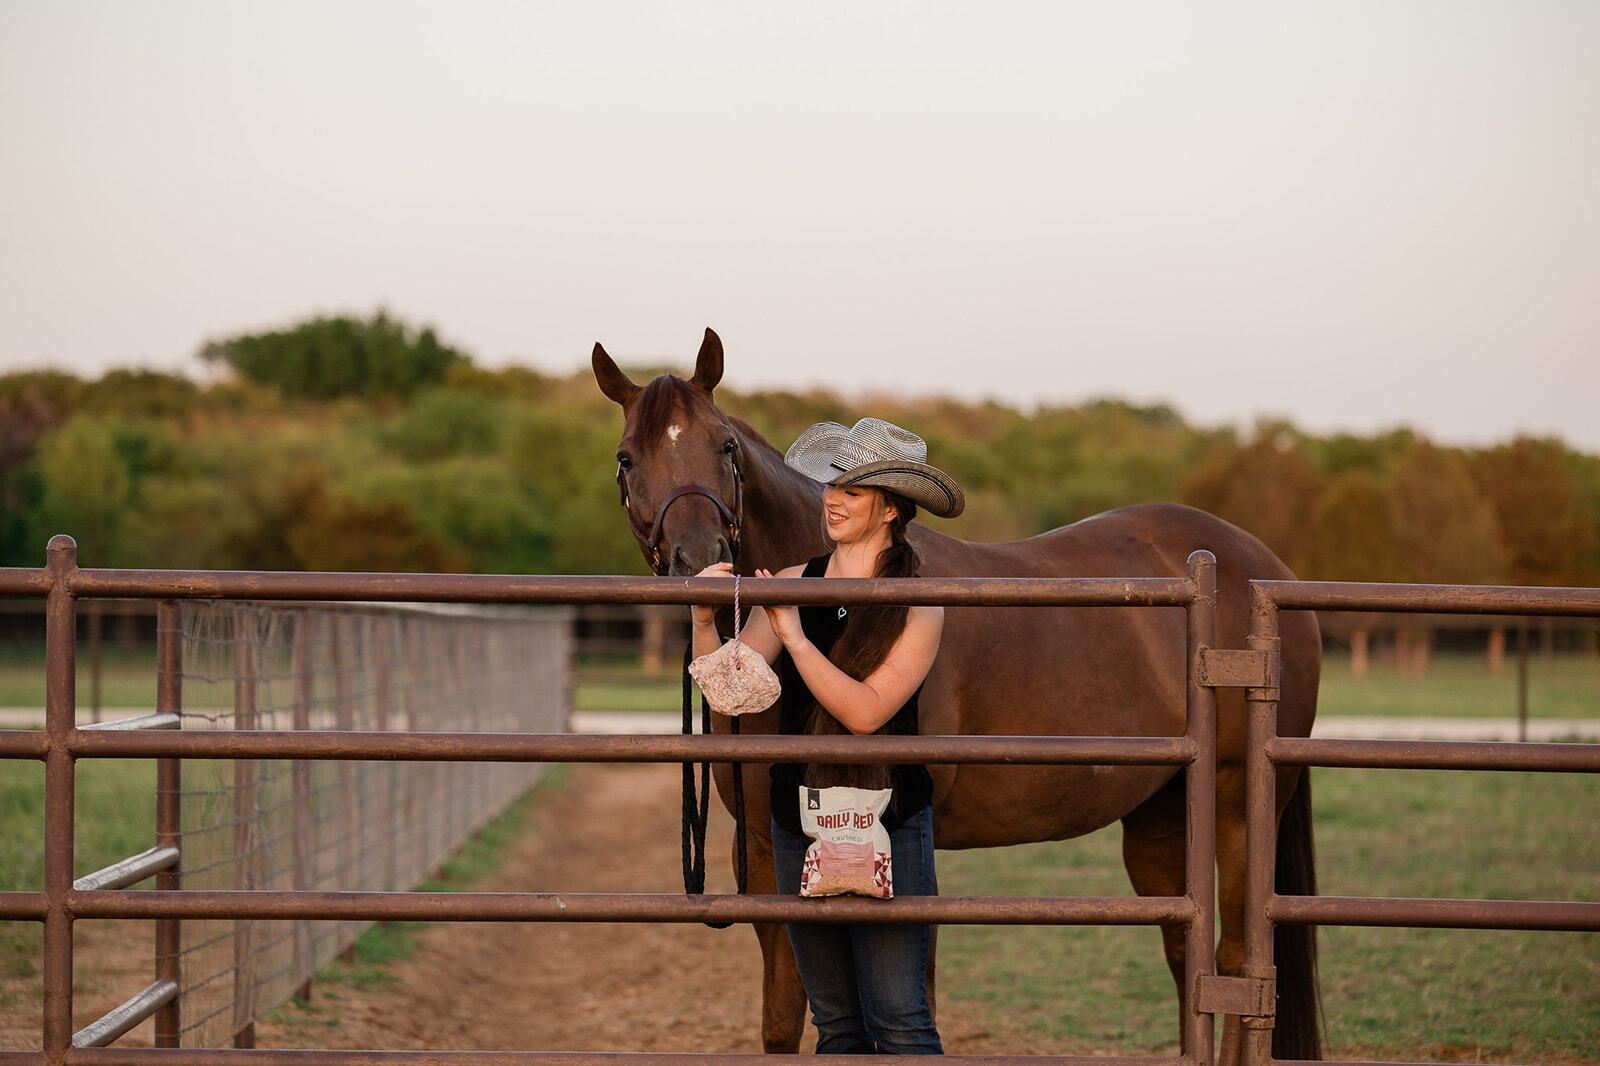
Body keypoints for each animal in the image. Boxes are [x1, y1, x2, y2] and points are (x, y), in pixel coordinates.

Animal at [592, 328, 1322, 1063]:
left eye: (725, 447)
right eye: (627, 458)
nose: (699, 563)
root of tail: (1258, 567)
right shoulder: (771, 853)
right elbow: (781, 1015)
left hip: (1235, 806)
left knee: (1233, 958)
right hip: (1163, 814)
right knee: (1181, 949)